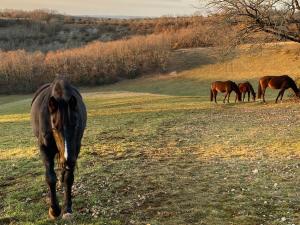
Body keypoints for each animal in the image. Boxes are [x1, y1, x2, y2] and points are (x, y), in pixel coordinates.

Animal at [30, 78, 86, 219]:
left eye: (75, 125)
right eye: (54, 128)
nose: (68, 160)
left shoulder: (75, 149)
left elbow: (68, 178)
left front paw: (67, 208)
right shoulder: (44, 149)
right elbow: (50, 178)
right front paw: (54, 210)